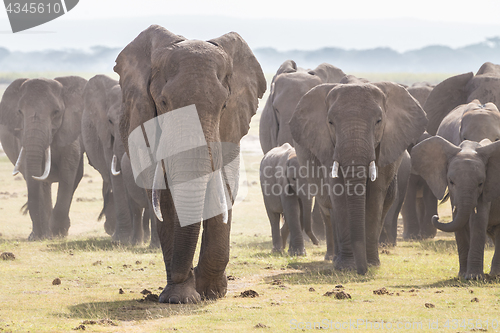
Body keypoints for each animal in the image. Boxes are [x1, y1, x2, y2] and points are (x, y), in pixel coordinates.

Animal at [0, 76, 86, 239]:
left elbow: (68, 171)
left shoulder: (70, 131)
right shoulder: (22, 135)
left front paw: (59, 233)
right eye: (19, 112)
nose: (37, 234)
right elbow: (31, 172)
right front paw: (40, 236)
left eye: (56, 112)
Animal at [114, 24, 268, 302]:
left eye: (224, 105)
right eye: (164, 103)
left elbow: (224, 187)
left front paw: (212, 292)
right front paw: (180, 297)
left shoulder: (231, 126)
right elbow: (165, 199)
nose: (186, 273)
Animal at [292, 81, 428, 274]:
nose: (361, 271)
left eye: (379, 121)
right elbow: (339, 194)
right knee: (328, 208)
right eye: (330, 122)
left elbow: (375, 196)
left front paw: (371, 264)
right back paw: (333, 259)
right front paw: (347, 267)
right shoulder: (327, 147)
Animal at [410, 136, 500, 278]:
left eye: (481, 184)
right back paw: (494, 274)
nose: (436, 216)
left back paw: (495, 275)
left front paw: (473, 277)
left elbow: (478, 220)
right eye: (451, 182)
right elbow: (459, 222)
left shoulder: (487, 188)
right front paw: (462, 275)